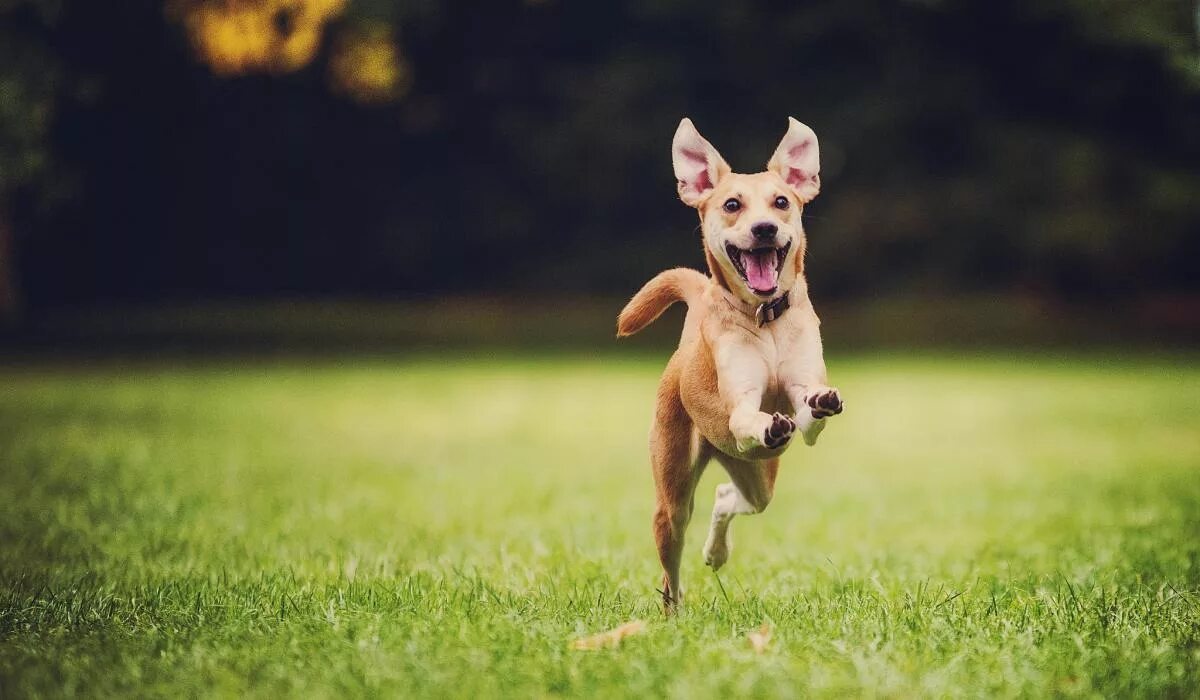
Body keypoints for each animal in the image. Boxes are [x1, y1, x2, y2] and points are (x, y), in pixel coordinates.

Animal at [619, 117, 844, 609]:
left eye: (781, 201)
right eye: (732, 205)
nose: (763, 229)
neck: (766, 320)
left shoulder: (802, 399)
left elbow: (809, 412)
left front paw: (818, 403)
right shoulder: (739, 407)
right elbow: (746, 416)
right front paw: (765, 423)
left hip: (758, 475)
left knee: (730, 496)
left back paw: (716, 552)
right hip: (673, 493)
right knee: (671, 565)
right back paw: (675, 610)